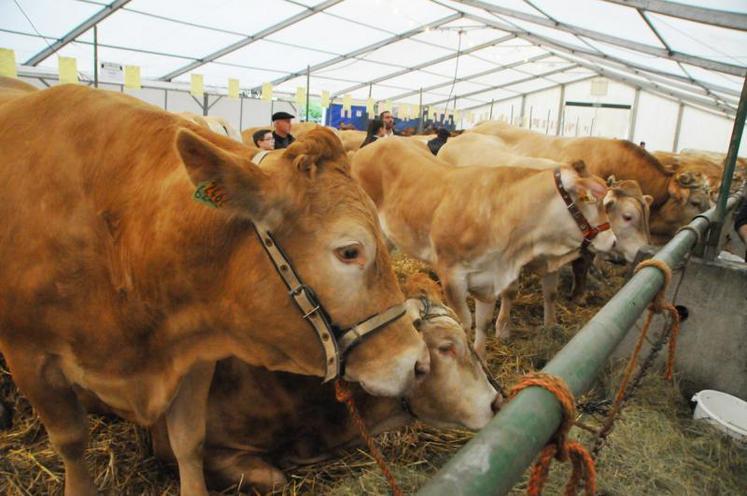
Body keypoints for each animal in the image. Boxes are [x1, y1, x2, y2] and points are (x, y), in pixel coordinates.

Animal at [0, 85, 430, 496]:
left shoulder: (193, 352)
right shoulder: (29, 357)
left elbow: (189, 441)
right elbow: (71, 441)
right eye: (350, 251)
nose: (418, 362)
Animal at [354, 138, 616, 358]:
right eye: (593, 199)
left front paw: (481, 357)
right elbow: (465, 323)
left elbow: (483, 323)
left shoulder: (489, 281)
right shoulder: (452, 277)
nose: (613, 241)